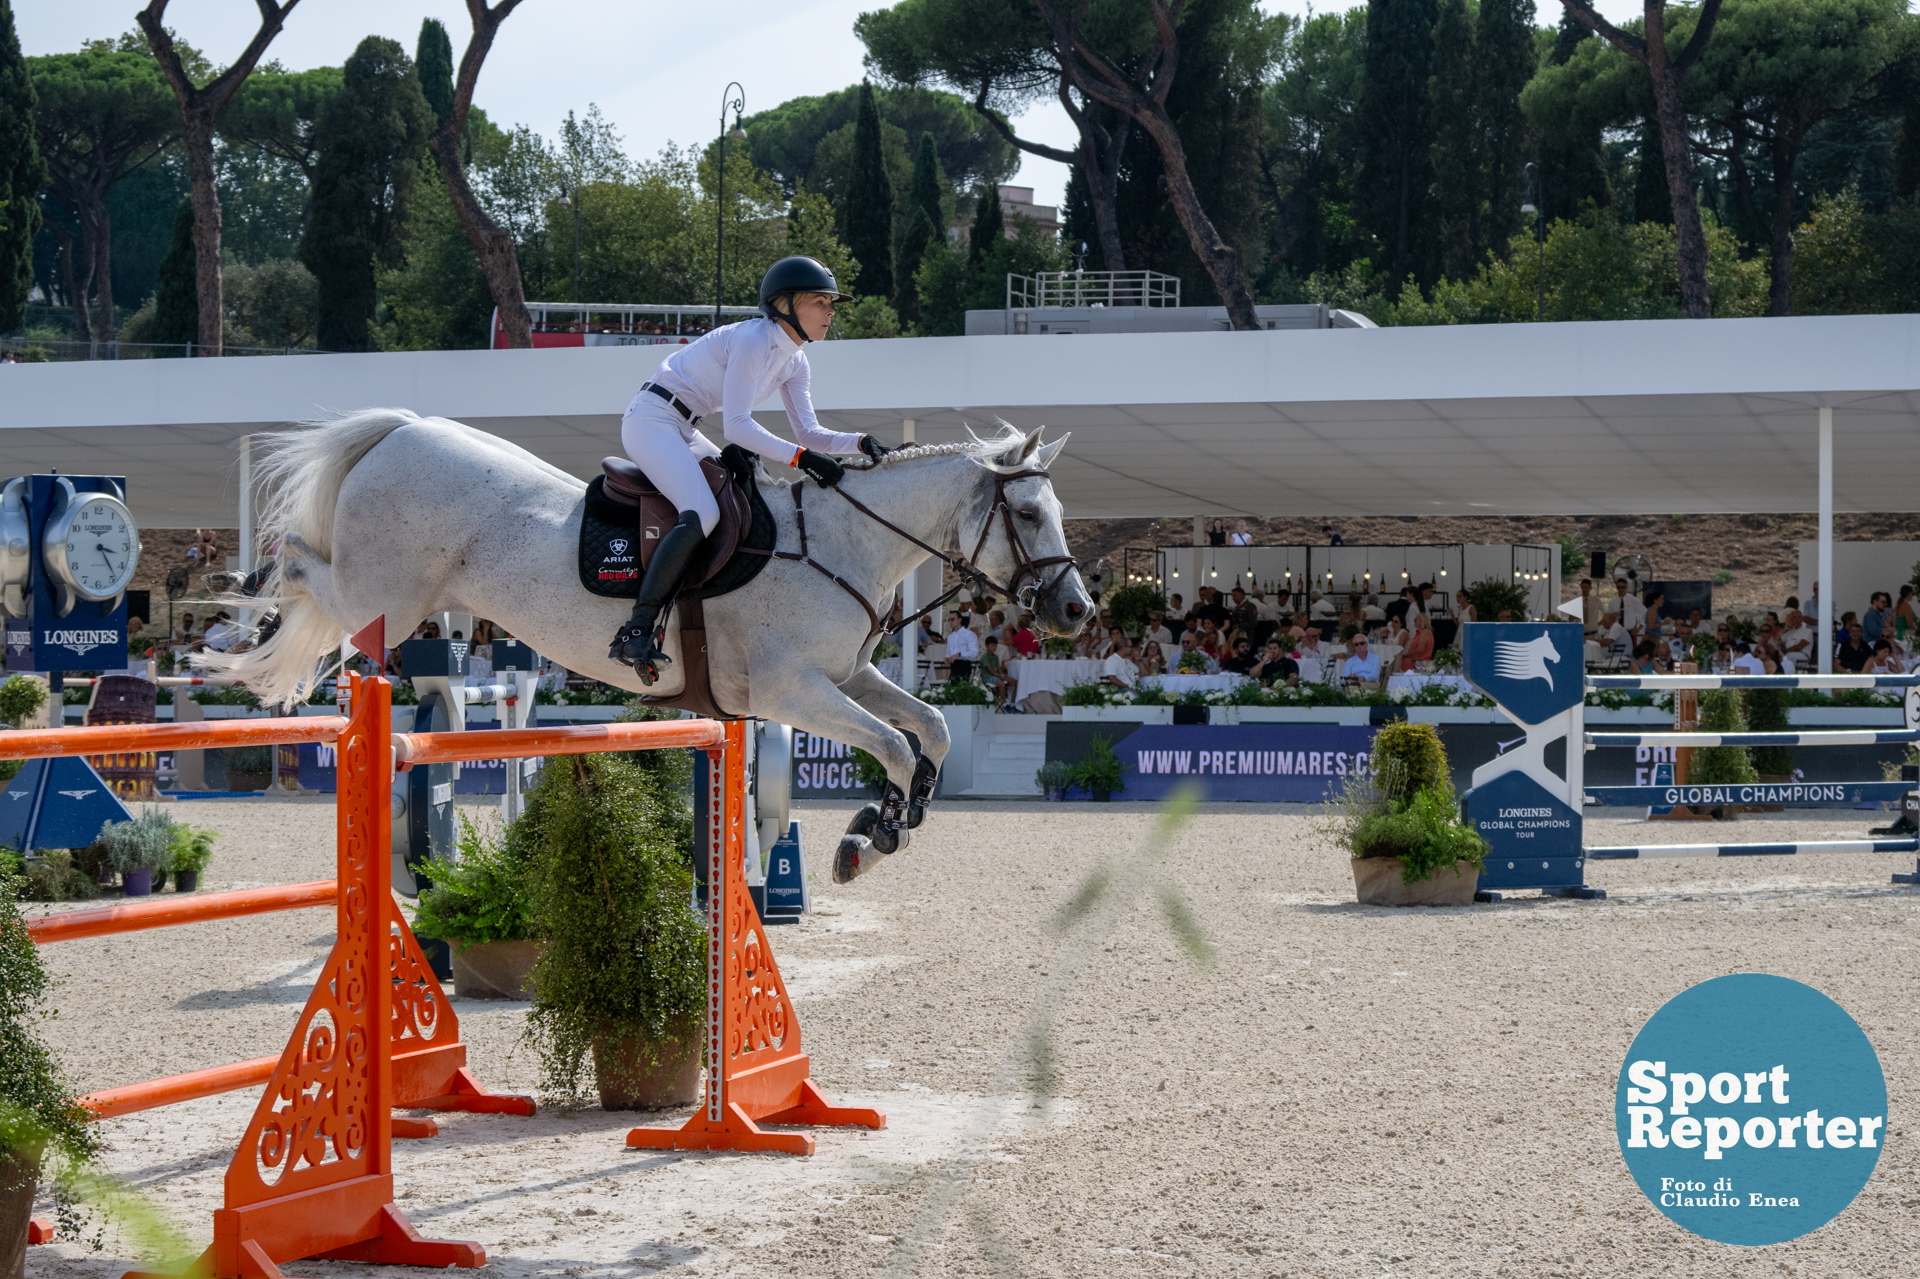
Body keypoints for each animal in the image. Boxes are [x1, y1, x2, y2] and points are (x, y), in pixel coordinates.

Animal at [204, 409, 1098, 875]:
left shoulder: (846, 676)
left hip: (397, 596)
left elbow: (932, 730)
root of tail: (398, 430)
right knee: (303, 569)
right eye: (1026, 514)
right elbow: (895, 745)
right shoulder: (791, 690)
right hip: (382, 595)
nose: (1077, 610)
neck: (843, 543)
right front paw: (871, 837)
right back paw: (251, 602)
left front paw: (892, 824)